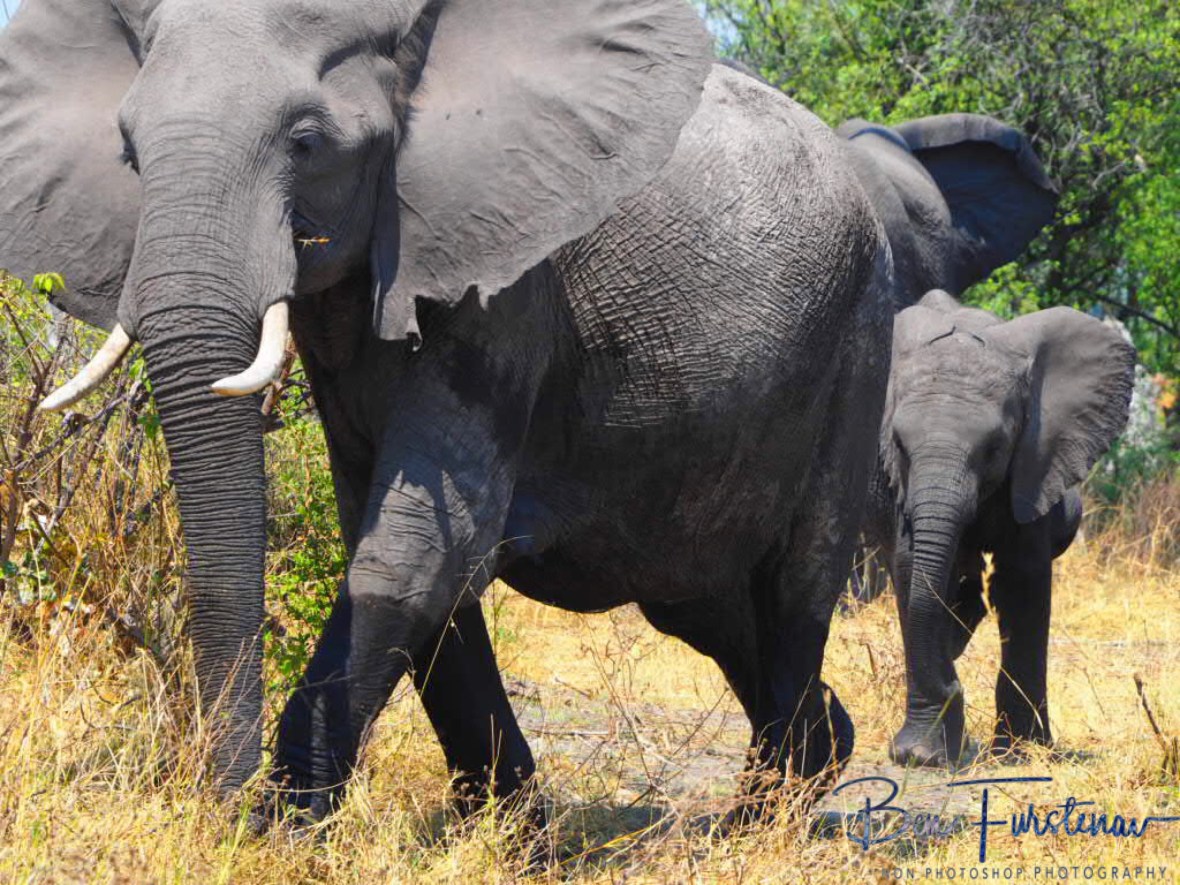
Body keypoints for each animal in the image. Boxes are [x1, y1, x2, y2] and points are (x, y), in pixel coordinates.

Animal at [0, 0, 894, 820]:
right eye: (128, 149)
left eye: (307, 143)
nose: (221, 798)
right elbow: (410, 546)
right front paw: (508, 828)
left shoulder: (510, 280)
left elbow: (418, 547)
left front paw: (275, 831)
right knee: (705, 605)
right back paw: (809, 764)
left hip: (860, 332)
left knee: (796, 589)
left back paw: (758, 822)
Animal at [863, 290, 1135, 768]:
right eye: (898, 445)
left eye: (994, 447)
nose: (953, 689)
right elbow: (913, 568)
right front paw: (921, 756)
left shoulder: (1035, 462)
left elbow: (1021, 580)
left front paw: (1021, 752)